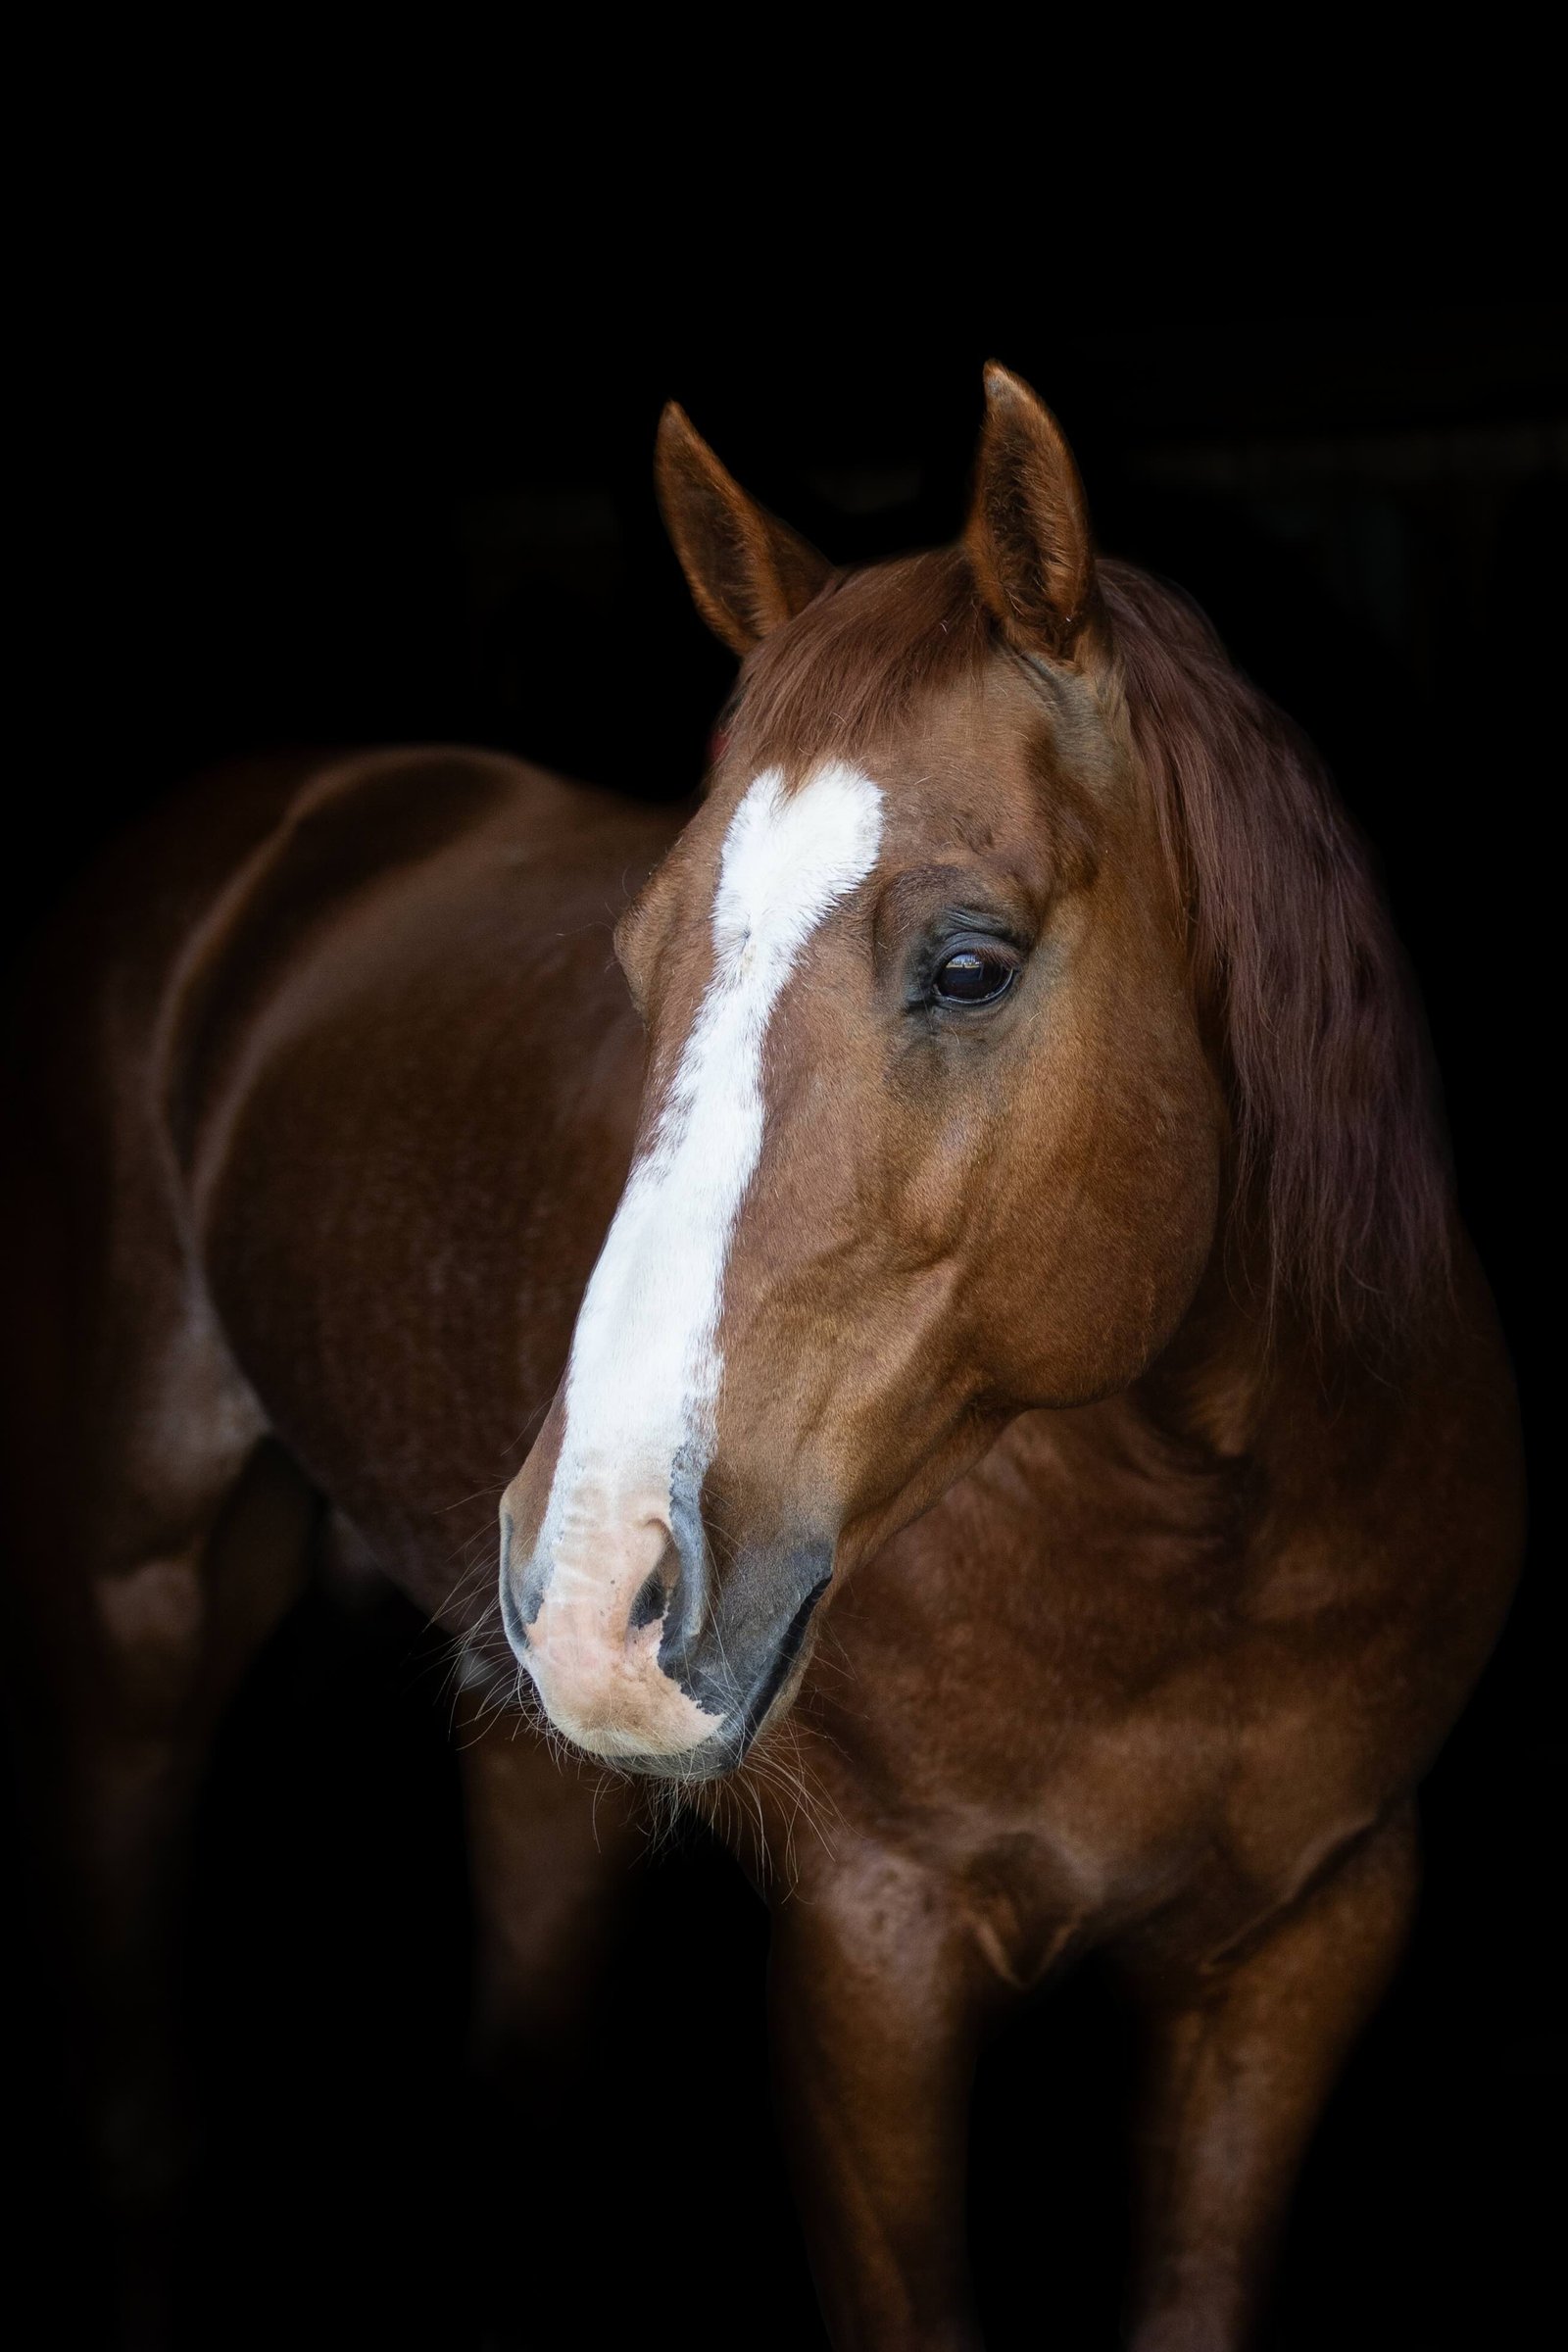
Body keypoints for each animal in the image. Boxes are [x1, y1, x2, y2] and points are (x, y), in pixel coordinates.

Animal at [2, 363, 1522, 2349]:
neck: (1209, 1548)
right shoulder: (872, 1955)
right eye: (639, 959)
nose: (595, 1581)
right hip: (134, 1603)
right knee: (135, 2117)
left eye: (970, 962)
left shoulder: (1298, 1959)